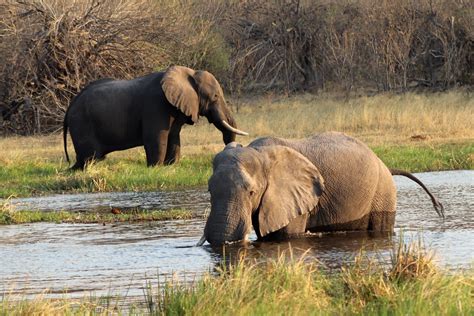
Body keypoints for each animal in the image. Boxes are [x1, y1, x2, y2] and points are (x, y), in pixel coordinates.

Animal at [63, 65, 248, 170]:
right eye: (215, 96)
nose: (235, 148)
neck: (188, 74)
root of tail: (70, 106)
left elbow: (174, 137)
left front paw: (171, 166)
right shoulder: (156, 105)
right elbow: (157, 138)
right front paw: (155, 168)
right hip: (82, 123)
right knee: (90, 157)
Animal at [197, 132, 444, 246]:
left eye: (251, 192)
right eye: (209, 191)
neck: (259, 152)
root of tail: (386, 165)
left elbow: (286, 235)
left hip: (383, 193)